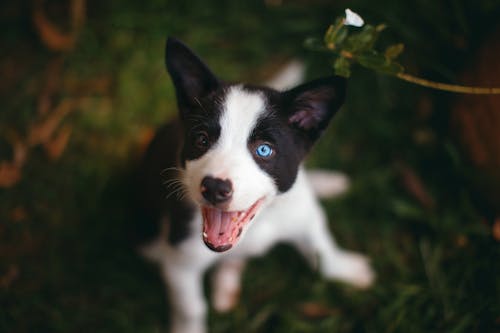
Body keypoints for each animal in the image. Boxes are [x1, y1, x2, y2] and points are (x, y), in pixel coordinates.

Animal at [137, 37, 376, 332]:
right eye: (201, 139)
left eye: (264, 150)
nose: (214, 188)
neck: (259, 223)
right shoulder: (179, 259)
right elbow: (190, 307)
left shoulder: (303, 215)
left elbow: (322, 249)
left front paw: (347, 269)